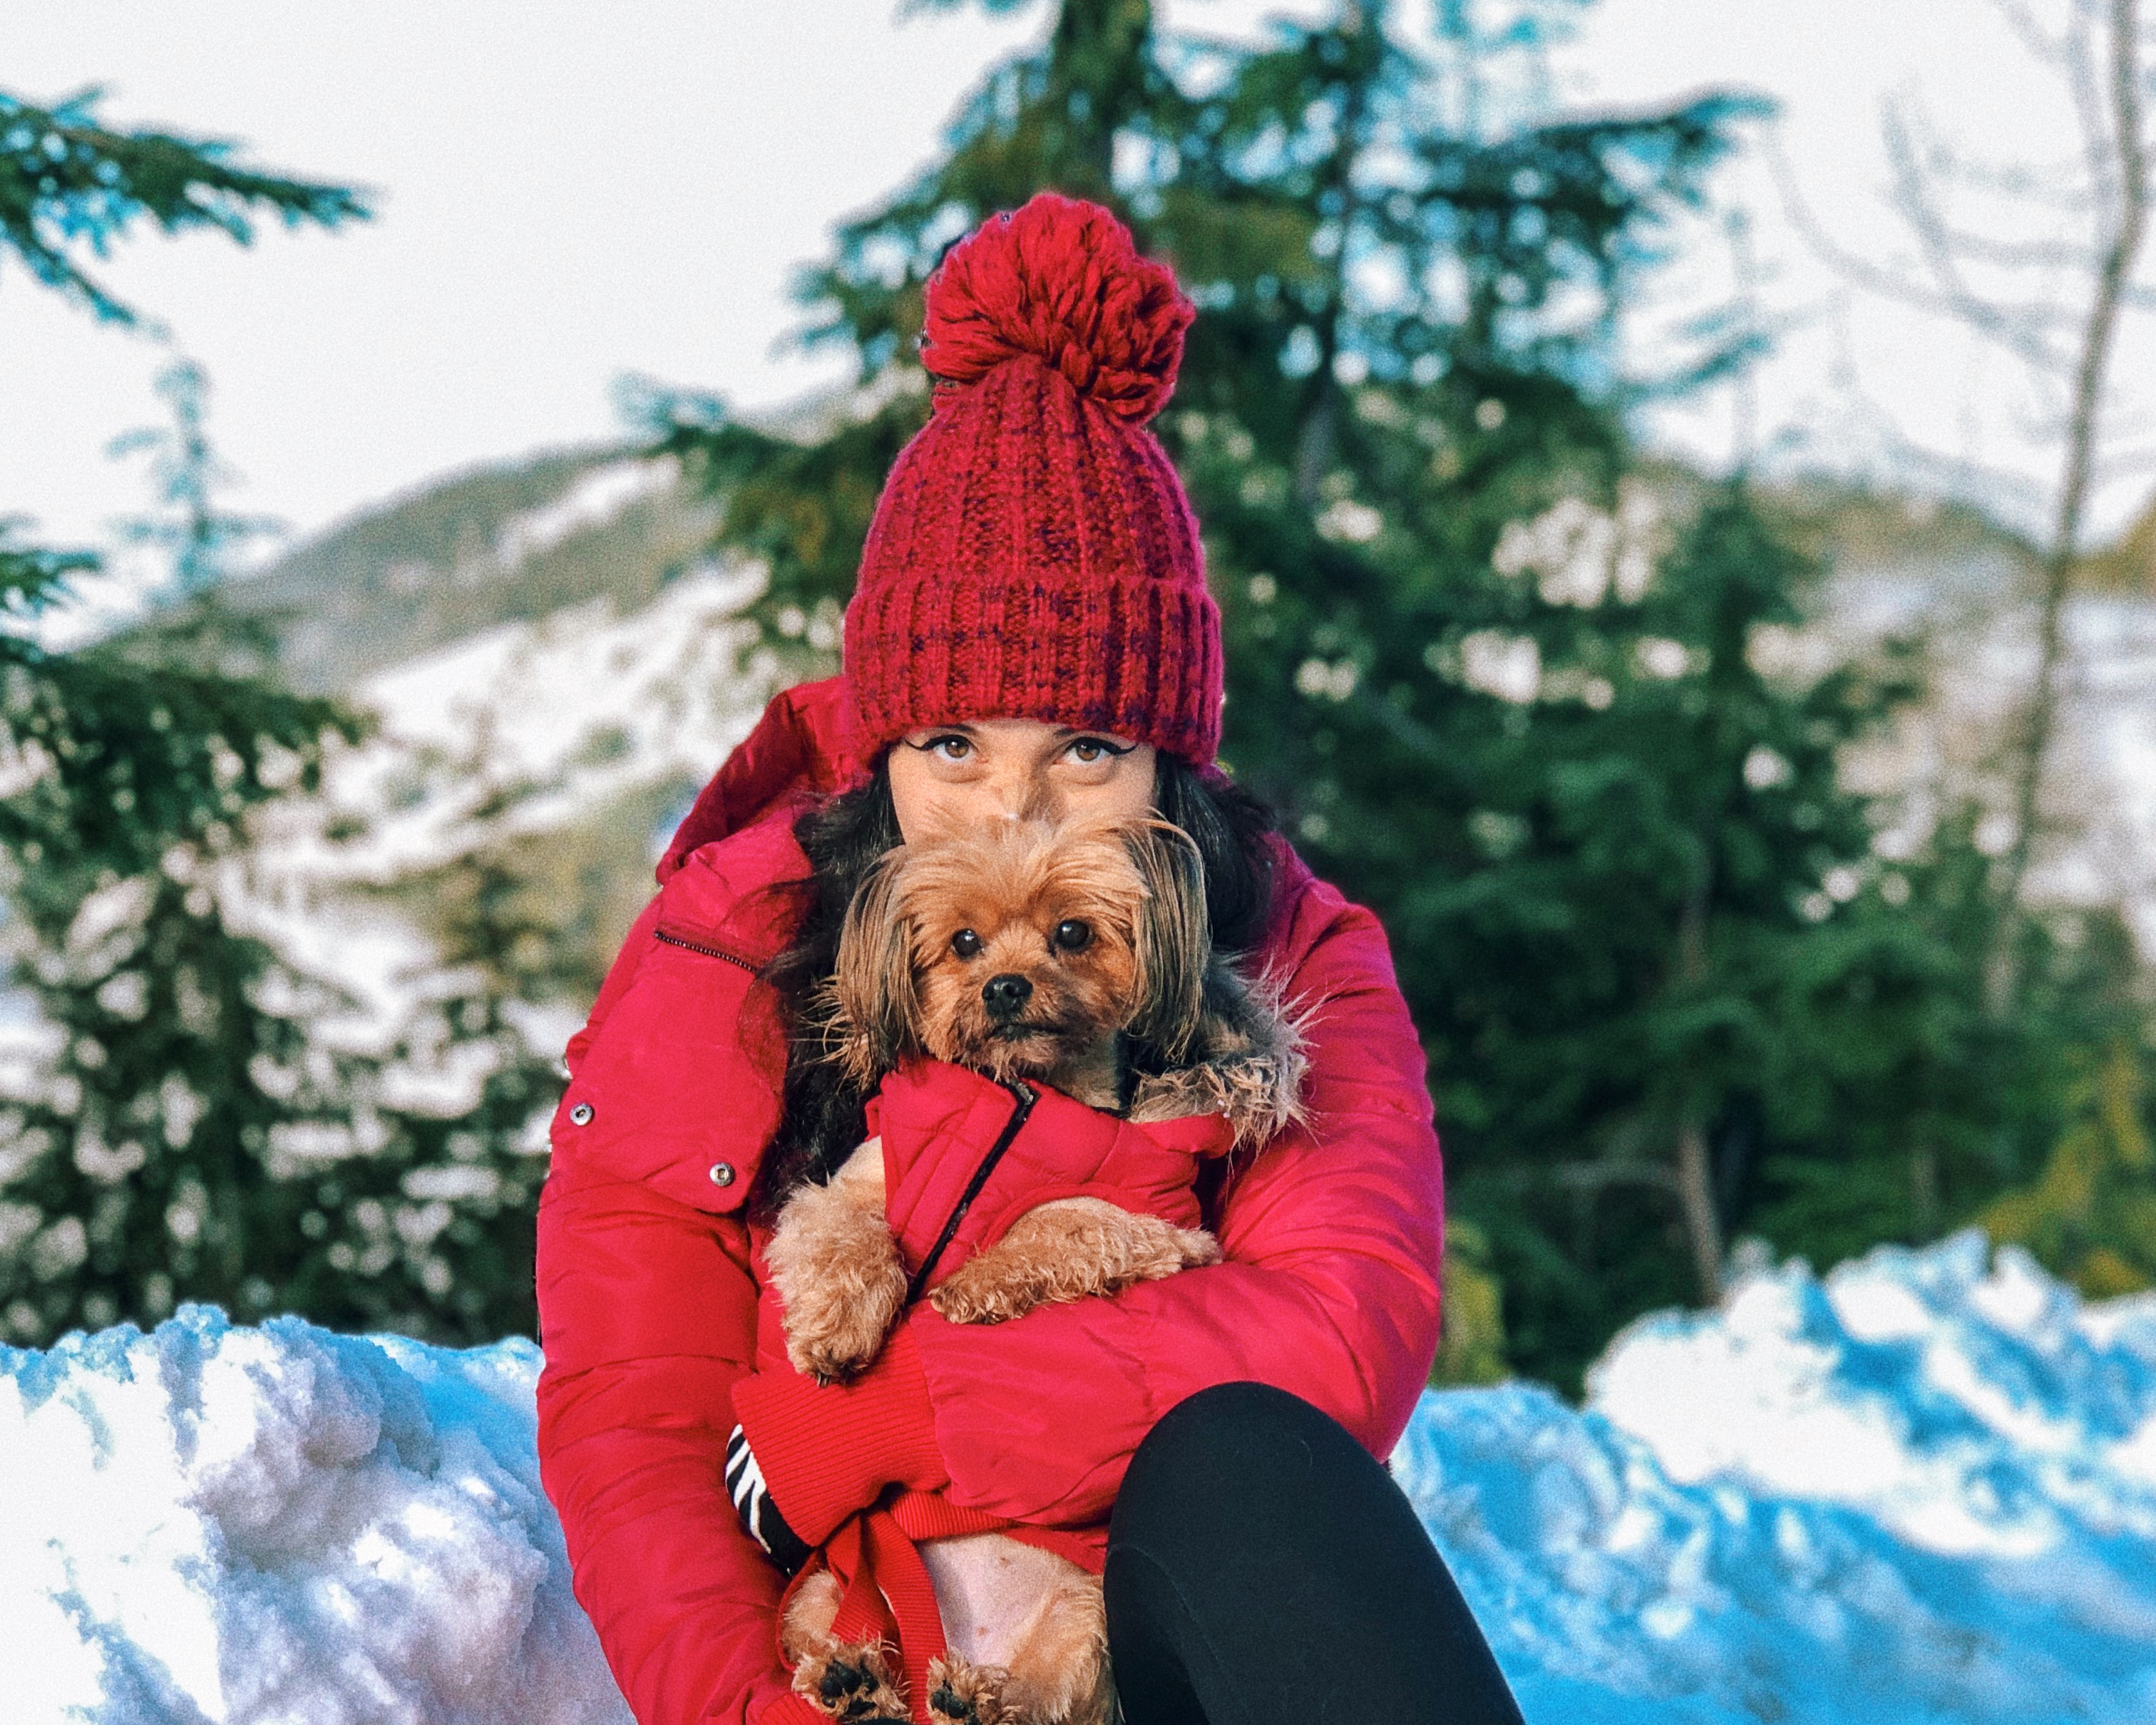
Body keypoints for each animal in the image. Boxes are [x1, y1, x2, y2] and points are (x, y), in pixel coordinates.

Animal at [767, 815, 1302, 1725]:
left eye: (1073, 933)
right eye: (963, 941)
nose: (1006, 987)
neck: (1021, 1101)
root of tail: (961, 1637)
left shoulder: (1166, 1229)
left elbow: (1059, 1217)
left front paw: (971, 1284)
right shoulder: (854, 1183)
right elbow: (848, 1235)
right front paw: (835, 1331)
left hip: (1086, 1618)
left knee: (1040, 1697)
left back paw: (968, 1697)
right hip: (831, 1583)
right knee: (834, 1637)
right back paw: (855, 1680)